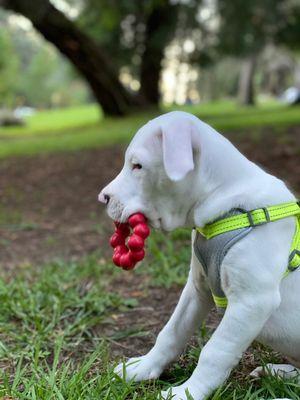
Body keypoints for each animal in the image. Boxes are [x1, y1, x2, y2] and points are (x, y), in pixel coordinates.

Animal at [99, 110, 300, 400]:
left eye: (137, 166)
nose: (102, 197)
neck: (227, 202)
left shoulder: (252, 302)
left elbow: (215, 351)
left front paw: (187, 392)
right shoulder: (197, 289)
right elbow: (171, 333)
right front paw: (142, 368)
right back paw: (279, 372)